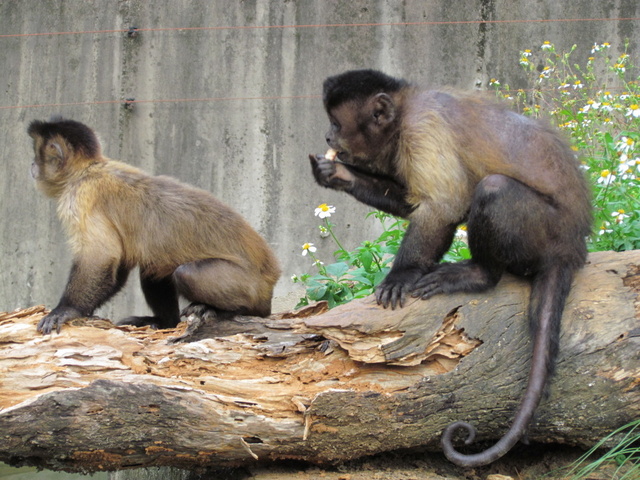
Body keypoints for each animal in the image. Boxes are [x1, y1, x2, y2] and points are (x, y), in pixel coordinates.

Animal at [28, 116, 282, 336]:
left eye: (37, 153)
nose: (32, 164)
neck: (88, 169)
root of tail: (270, 279)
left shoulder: (80, 196)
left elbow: (101, 258)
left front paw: (67, 310)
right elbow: (118, 265)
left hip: (249, 287)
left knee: (185, 273)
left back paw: (229, 310)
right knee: (153, 266)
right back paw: (166, 322)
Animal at [308, 69, 592, 466]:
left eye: (336, 123)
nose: (327, 137)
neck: (404, 108)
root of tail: (572, 246)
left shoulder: (422, 128)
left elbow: (443, 205)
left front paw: (401, 275)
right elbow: (416, 203)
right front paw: (336, 174)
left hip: (545, 234)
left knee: (494, 189)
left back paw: (479, 275)